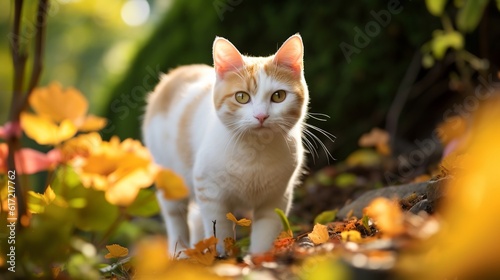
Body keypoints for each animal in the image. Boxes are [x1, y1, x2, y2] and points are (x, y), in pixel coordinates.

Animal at [141, 34, 310, 255]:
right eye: (242, 97)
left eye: (278, 96)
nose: (261, 116)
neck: (255, 151)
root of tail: (177, 73)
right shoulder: (210, 192)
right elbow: (219, 230)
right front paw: (221, 258)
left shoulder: (276, 197)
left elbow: (265, 232)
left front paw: (258, 258)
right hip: (171, 177)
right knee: (174, 212)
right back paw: (181, 253)